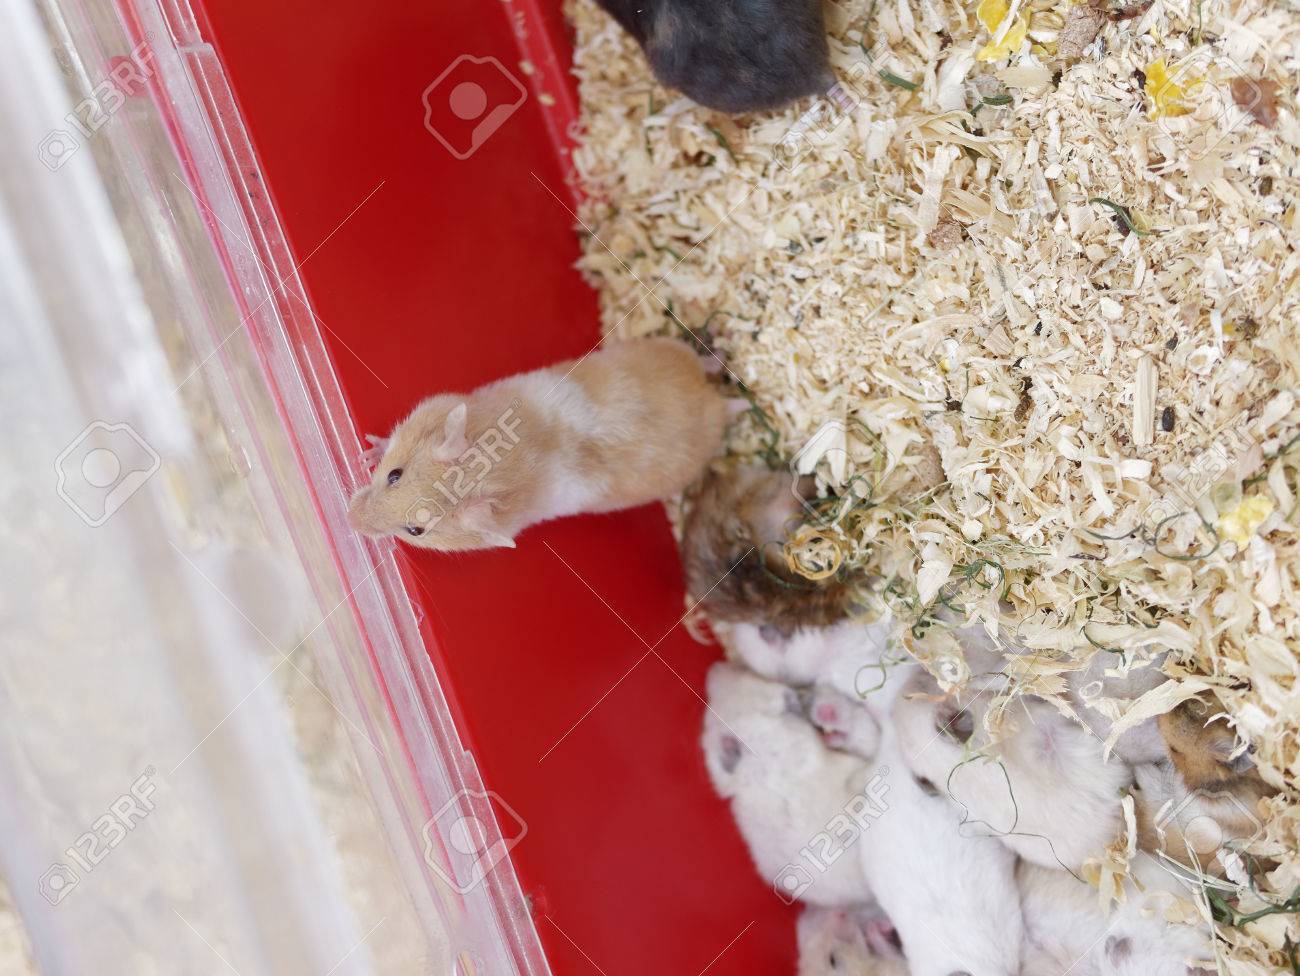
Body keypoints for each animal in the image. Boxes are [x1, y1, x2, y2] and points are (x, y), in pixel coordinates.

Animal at [348, 338, 732, 551]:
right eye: (394, 475)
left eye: (416, 530)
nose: (350, 520)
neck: (492, 468)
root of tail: (707, 396)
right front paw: (367, 453)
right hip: (672, 347)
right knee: (705, 362)